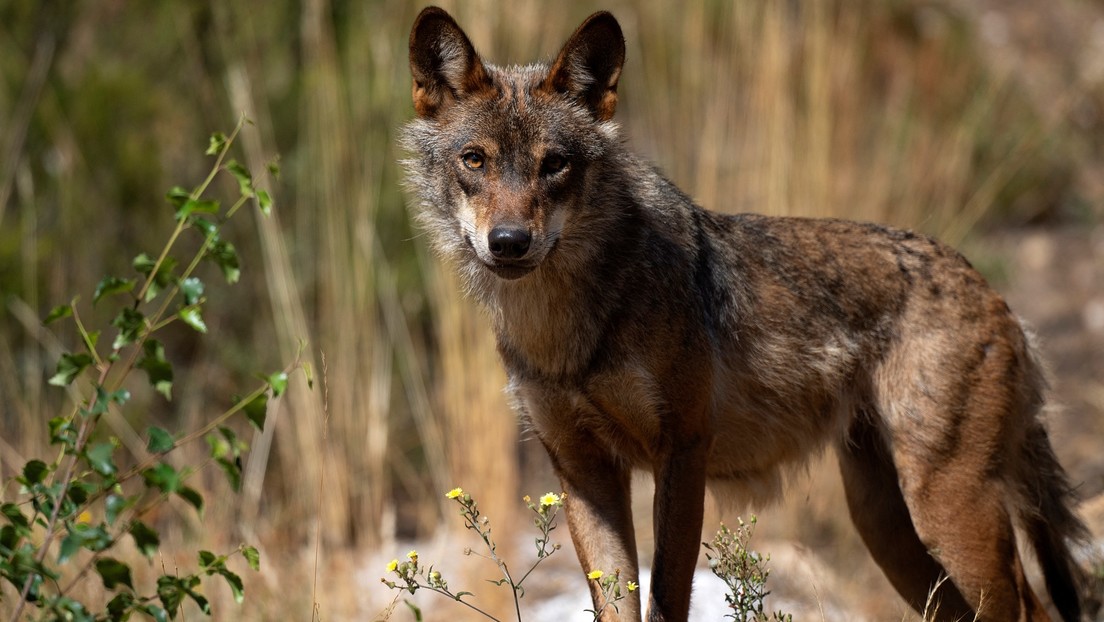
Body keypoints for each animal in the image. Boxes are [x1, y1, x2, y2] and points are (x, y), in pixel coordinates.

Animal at [402, 6, 1096, 621]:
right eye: (475, 160)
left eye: (555, 165)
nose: (510, 242)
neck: (568, 332)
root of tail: (992, 290)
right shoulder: (582, 471)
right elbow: (616, 605)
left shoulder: (684, 452)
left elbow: (667, 599)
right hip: (888, 528)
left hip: (946, 513)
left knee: (1033, 608)